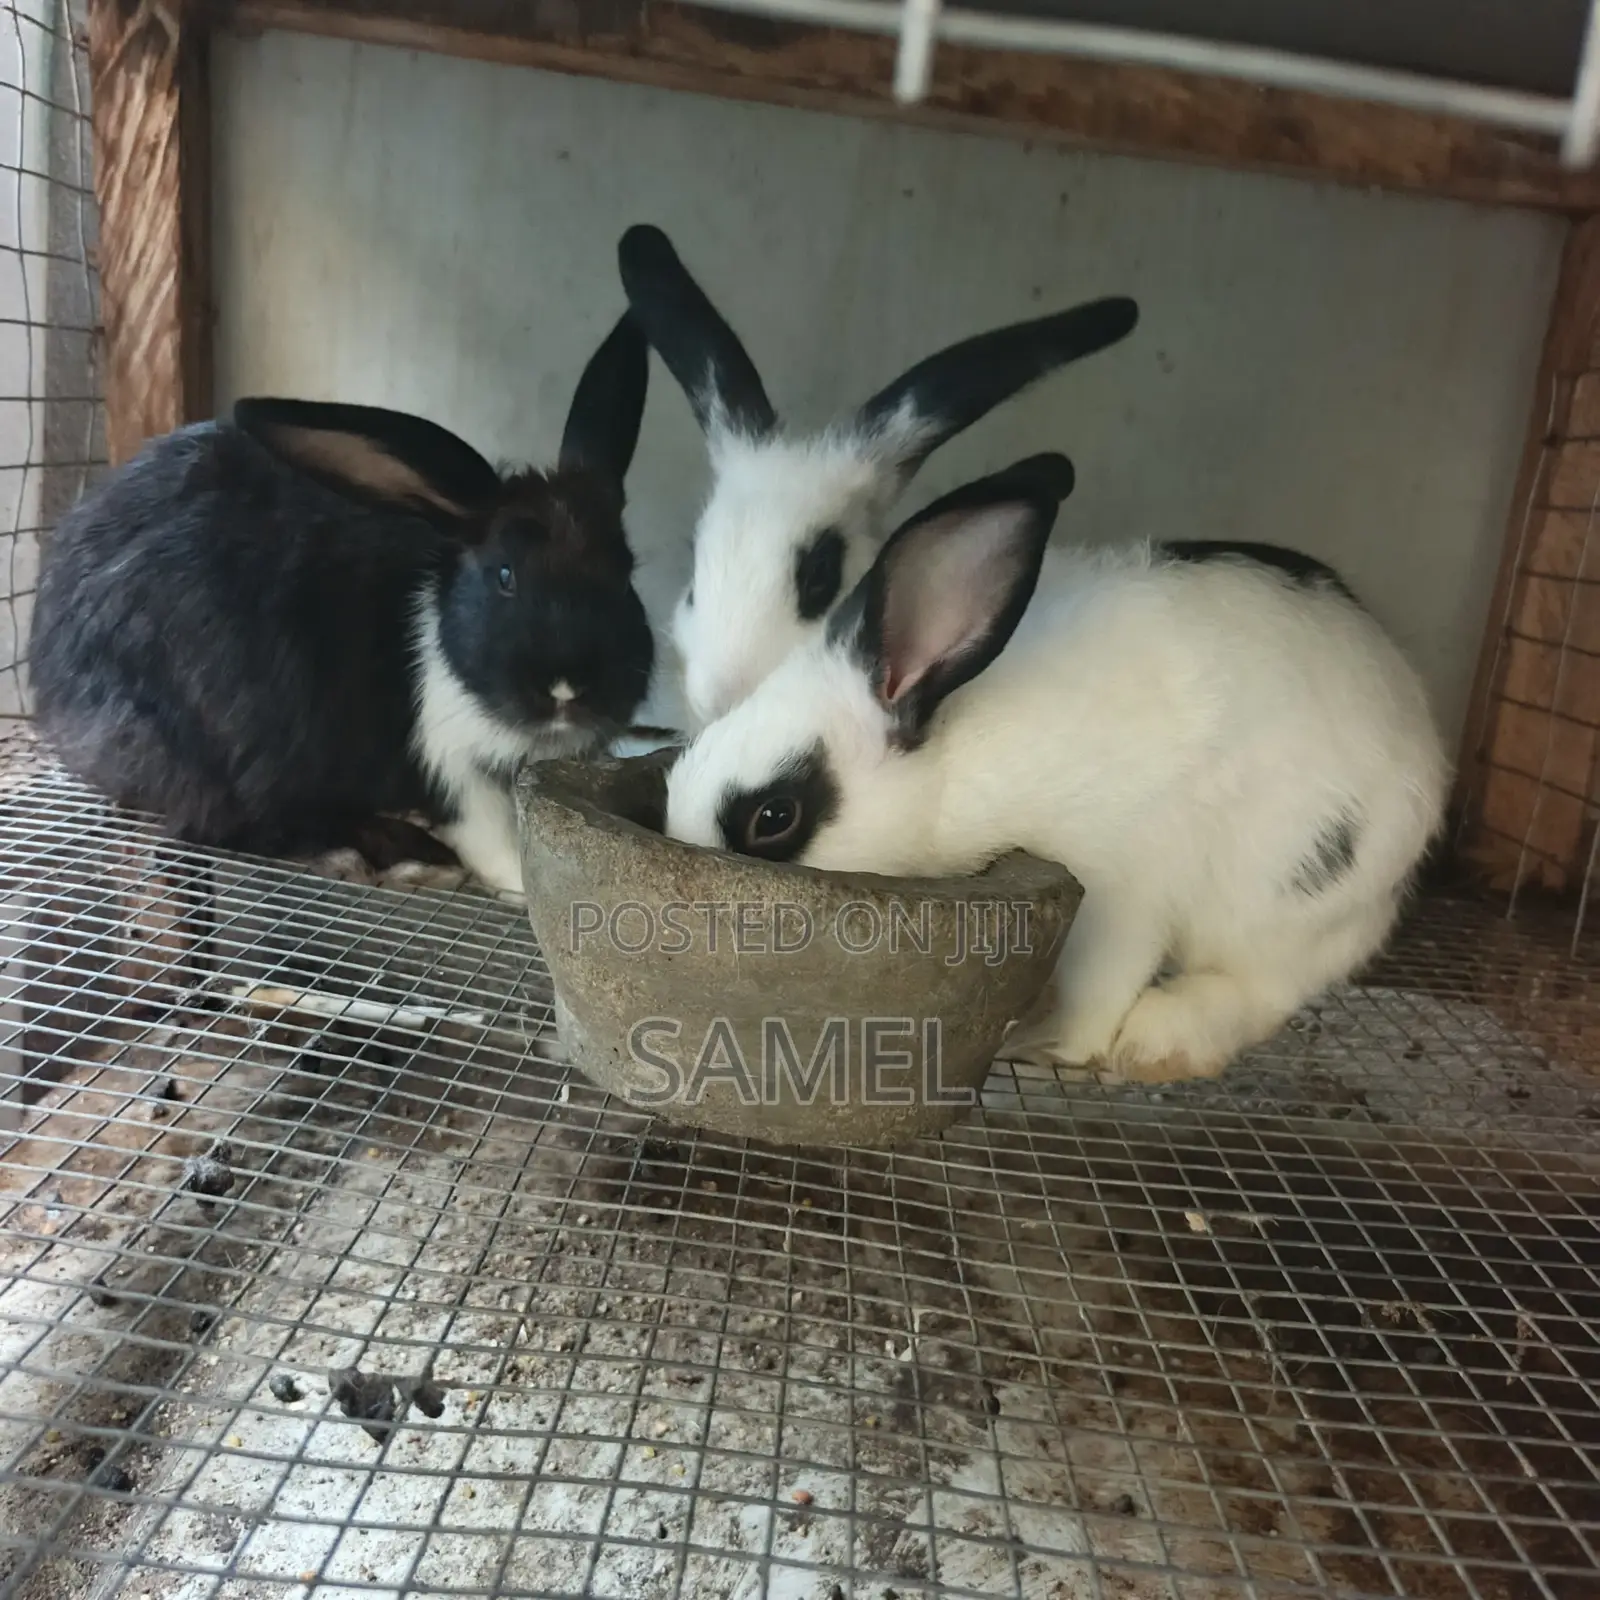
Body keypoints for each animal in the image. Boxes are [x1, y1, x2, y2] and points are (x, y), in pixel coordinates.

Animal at [29, 311, 658, 899]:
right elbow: (492, 837)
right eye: (505, 576)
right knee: (221, 827)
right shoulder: (450, 766)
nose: (568, 689)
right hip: (212, 755)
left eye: (626, 572)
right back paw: (382, 856)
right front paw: (519, 887)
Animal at [662, 453, 1450, 1084]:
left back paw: (1159, 1043)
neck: (953, 756)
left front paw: (1044, 1047)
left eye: (774, 817)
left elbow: (1098, 991)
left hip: (1284, 894)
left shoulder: (1124, 886)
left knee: (1264, 987)